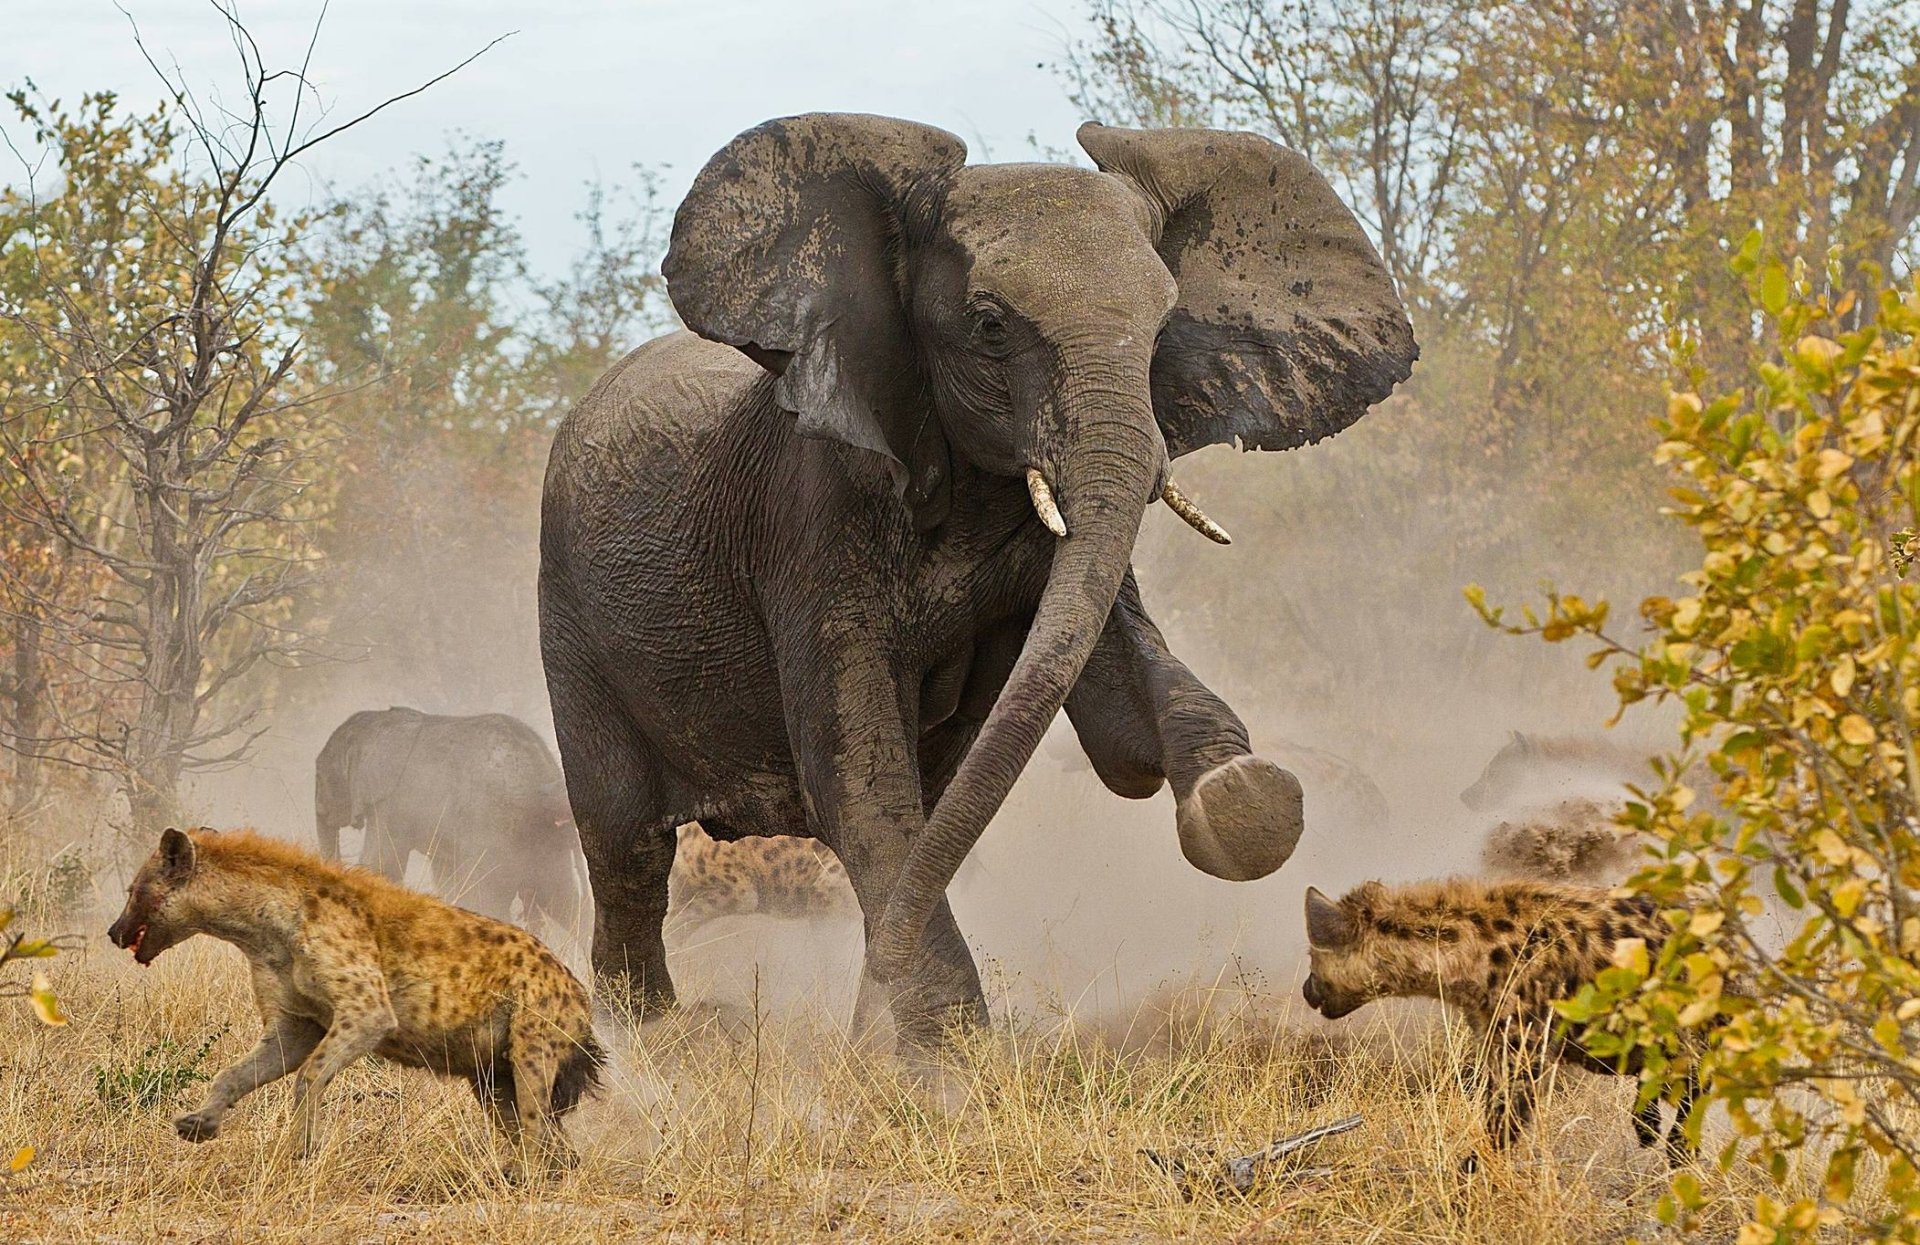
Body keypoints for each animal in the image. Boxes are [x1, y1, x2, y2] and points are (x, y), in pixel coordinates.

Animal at [314, 707, 587, 929]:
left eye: (321, 776)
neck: (376, 721)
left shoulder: (391, 803)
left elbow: (381, 863)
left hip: (498, 835)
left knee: (490, 899)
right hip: (546, 839)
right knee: (565, 902)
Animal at [537, 114, 1416, 1046]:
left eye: (1161, 330)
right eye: (991, 327)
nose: (861, 1031)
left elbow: (1116, 712)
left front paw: (1242, 796)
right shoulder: (811, 514)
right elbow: (855, 772)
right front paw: (946, 1057)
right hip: (570, 616)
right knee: (627, 844)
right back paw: (647, 1037)